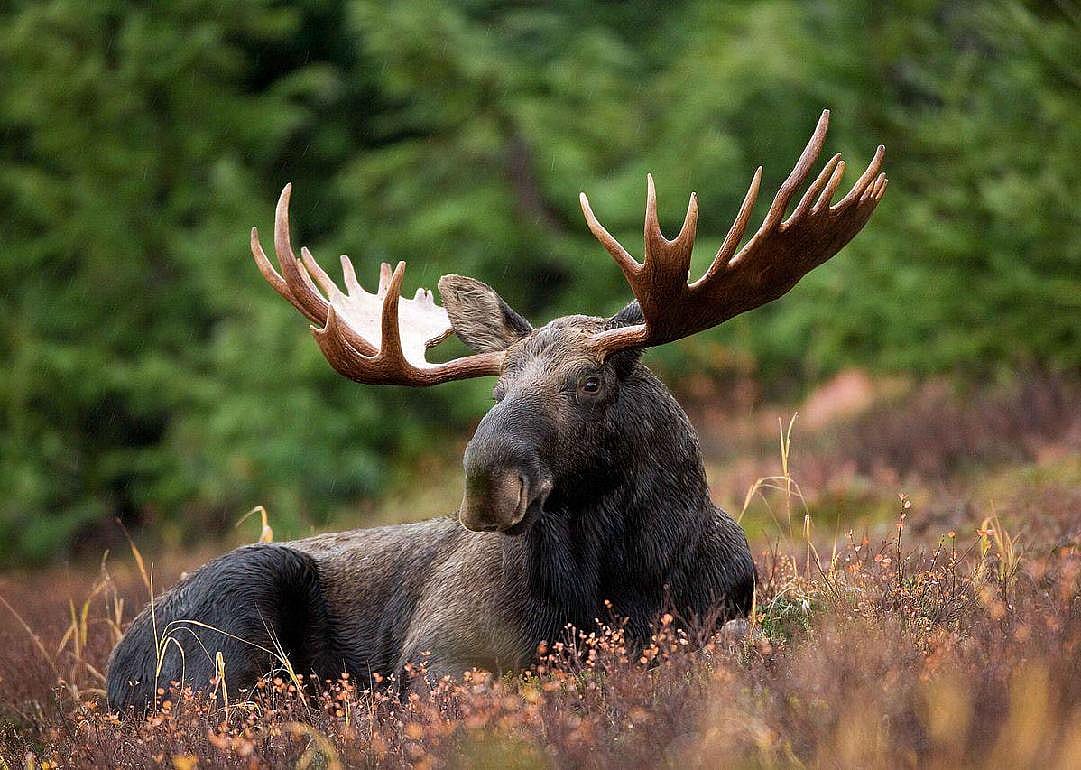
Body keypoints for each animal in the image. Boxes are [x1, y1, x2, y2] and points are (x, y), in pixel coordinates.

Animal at [106, 110, 886, 712]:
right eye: (495, 392)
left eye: (591, 383)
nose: (487, 482)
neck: (626, 580)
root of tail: (114, 674)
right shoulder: (437, 653)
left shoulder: (725, 611)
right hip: (236, 615)